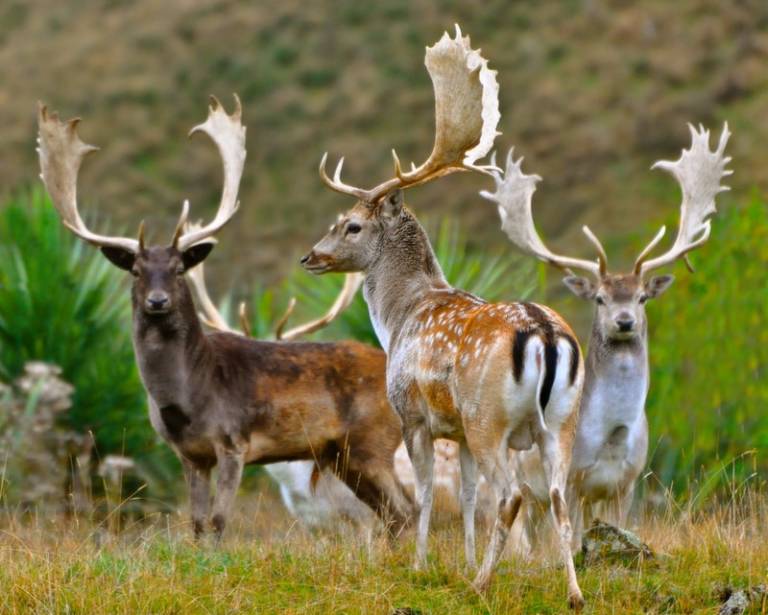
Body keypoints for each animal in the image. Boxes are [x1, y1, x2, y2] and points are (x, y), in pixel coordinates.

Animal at [36, 95, 416, 540]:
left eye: (179, 268)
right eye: (136, 271)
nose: (158, 301)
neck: (186, 397)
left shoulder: (234, 441)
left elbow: (218, 522)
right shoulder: (189, 454)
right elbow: (198, 524)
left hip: (371, 442)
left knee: (405, 511)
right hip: (343, 455)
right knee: (393, 516)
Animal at [300, 26, 584, 608]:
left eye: (352, 225)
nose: (311, 256)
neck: (401, 316)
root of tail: (545, 335)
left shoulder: (413, 414)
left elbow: (427, 493)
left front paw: (422, 564)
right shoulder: (456, 431)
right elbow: (469, 493)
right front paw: (465, 559)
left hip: (489, 417)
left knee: (513, 495)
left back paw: (482, 585)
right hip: (560, 421)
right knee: (559, 499)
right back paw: (572, 593)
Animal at [484, 122, 736, 548]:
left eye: (641, 297)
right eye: (600, 298)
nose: (624, 321)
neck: (613, 439)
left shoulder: (627, 484)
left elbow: (620, 531)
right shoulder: (571, 478)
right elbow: (567, 540)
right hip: (524, 479)